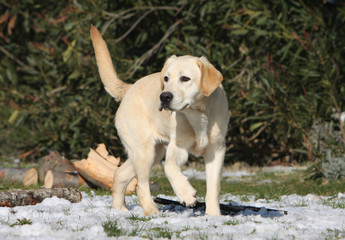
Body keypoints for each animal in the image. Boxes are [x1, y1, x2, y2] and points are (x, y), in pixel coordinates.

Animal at [89, 25, 228, 217]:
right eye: (166, 78)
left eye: (185, 78)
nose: (164, 97)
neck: (197, 114)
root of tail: (129, 87)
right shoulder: (177, 147)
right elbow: (169, 167)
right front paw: (186, 194)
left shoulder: (216, 150)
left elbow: (214, 187)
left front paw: (214, 215)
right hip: (144, 151)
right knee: (141, 186)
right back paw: (151, 210)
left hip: (151, 153)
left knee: (120, 174)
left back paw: (120, 210)